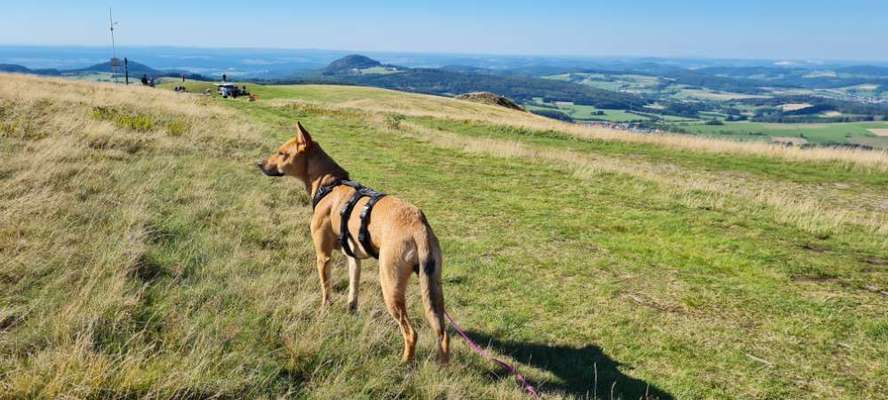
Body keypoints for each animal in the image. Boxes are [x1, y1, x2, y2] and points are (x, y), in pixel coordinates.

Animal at [256, 122, 450, 362]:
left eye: (282, 153)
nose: (259, 164)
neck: (329, 183)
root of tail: (418, 224)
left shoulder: (323, 256)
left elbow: (326, 289)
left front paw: (324, 311)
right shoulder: (353, 257)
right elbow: (353, 287)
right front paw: (351, 310)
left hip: (390, 284)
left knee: (411, 332)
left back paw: (405, 361)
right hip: (433, 288)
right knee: (442, 333)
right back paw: (442, 365)